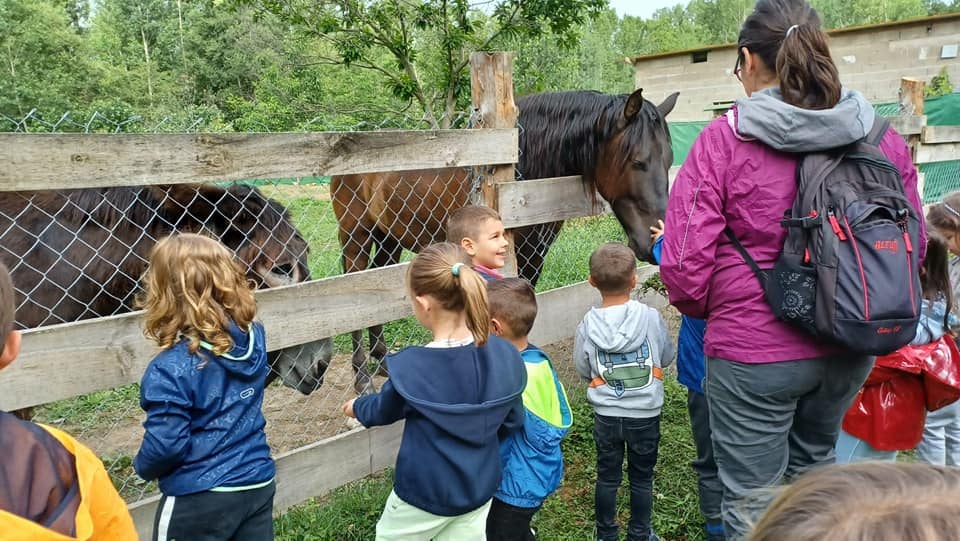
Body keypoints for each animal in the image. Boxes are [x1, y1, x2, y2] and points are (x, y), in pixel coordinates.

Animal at [334, 88, 680, 386]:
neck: (520, 169)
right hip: (356, 236)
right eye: (637, 161)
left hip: (388, 240)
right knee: (351, 295)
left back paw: (381, 361)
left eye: (668, 159)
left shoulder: (533, 255)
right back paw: (361, 374)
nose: (654, 239)